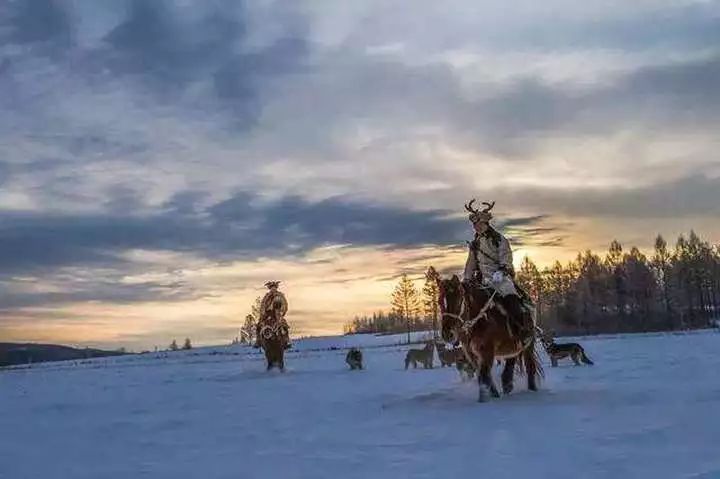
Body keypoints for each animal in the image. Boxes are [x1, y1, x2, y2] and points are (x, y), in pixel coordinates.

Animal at [430, 270, 544, 402]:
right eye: (439, 302)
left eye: (458, 300)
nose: (447, 334)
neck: (480, 319)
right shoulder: (472, 355)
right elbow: (483, 376)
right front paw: (493, 395)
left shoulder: (487, 352)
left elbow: (484, 377)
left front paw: (483, 399)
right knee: (512, 359)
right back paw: (507, 383)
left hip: (528, 344)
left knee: (530, 366)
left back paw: (531, 389)